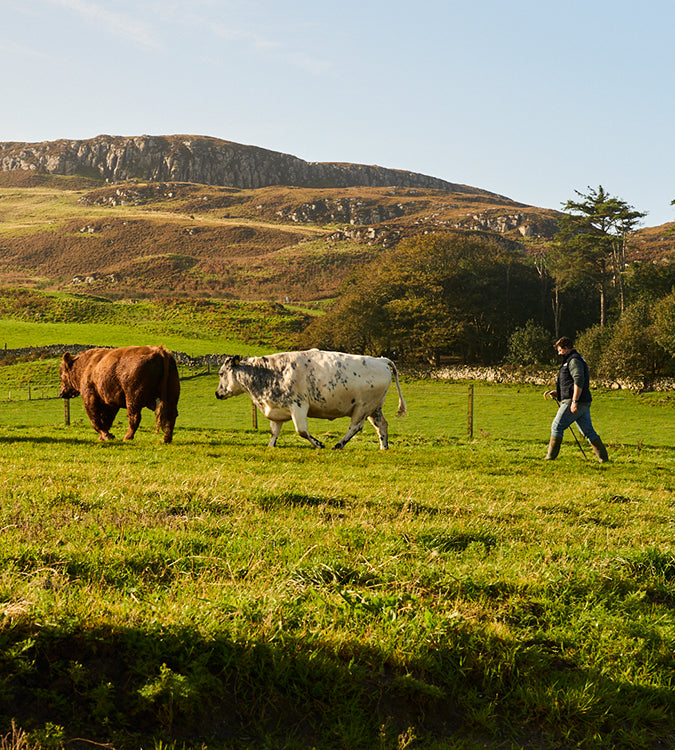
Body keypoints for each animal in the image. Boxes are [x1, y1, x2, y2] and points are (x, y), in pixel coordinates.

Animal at [215, 349, 406, 449]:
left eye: (221, 373)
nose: (217, 393)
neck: (271, 372)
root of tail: (380, 360)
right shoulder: (277, 409)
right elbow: (274, 432)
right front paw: (270, 446)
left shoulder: (298, 406)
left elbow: (301, 431)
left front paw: (319, 444)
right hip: (374, 408)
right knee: (381, 425)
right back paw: (383, 448)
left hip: (362, 407)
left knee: (355, 426)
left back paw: (339, 444)